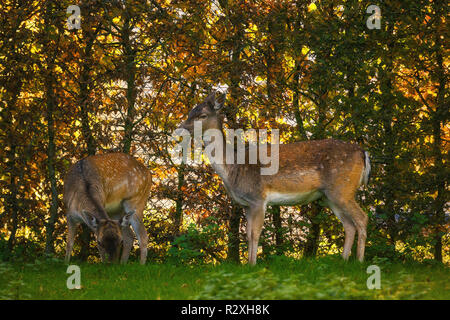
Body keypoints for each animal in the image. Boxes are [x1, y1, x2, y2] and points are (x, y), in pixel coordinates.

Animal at [178, 92, 370, 264]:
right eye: (190, 112)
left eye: (202, 115)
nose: (181, 128)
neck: (234, 168)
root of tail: (363, 153)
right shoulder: (246, 204)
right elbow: (247, 235)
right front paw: (249, 263)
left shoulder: (258, 198)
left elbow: (255, 234)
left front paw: (252, 264)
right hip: (330, 196)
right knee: (349, 225)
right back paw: (344, 260)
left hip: (343, 188)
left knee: (362, 218)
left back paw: (359, 261)